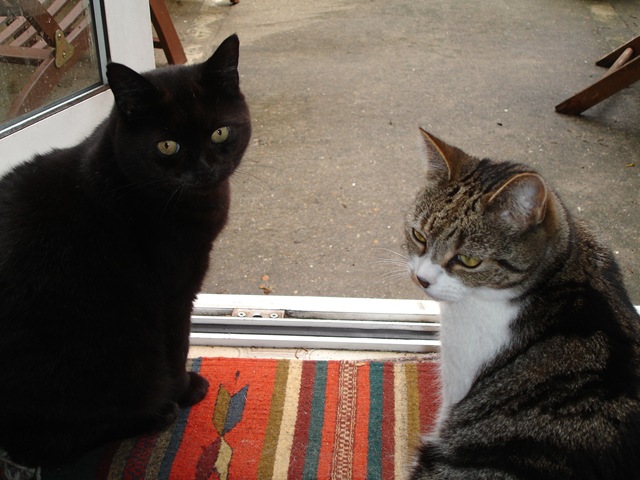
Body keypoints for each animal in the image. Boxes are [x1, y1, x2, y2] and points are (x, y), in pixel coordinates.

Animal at [0, 34, 251, 467]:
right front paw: (186, 390)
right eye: (167, 145)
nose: (203, 169)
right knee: (43, 444)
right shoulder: (174, 290)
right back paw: (157, 414)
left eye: (220, 133)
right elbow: (177, 345)